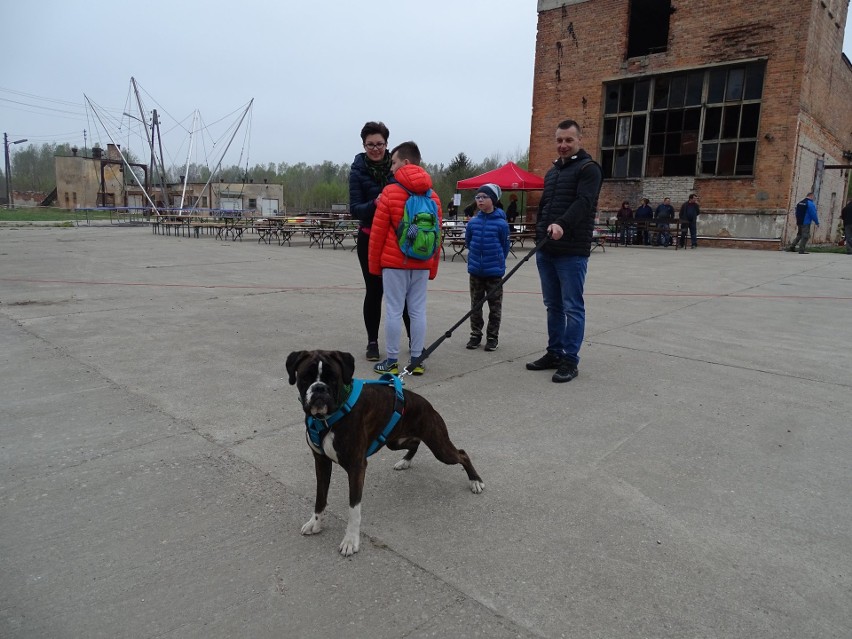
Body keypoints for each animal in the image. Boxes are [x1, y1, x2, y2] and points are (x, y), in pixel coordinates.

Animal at [288, 350, 482, 556]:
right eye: (305, 377)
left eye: (333, 378)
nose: (319, 388)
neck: (326, 418)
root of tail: (427, 404)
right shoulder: (321, 462)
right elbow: (320, 497)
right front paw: (315, 523)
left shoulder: (356, 467)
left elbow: (354, 508)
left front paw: (350, 540)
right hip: (395, 441)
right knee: (415, 443)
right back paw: (405, 461)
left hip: (440, 448)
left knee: (462, 454)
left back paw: (475, 481)